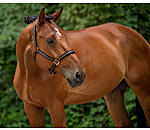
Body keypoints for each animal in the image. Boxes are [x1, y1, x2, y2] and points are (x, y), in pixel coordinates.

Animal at [13, 7, 150, 127]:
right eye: (50, 40)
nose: (79, 74)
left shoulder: (55, 107)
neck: (29, 75)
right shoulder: (32, 108)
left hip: (143, 90)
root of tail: (135, 34)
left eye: (65, 36)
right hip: (114, 93)